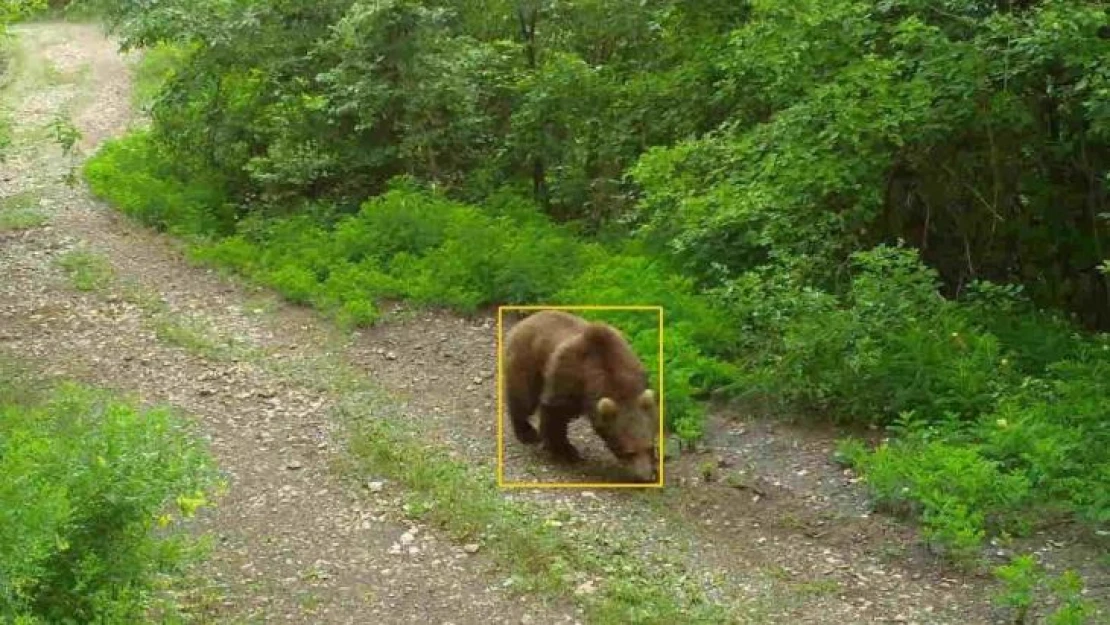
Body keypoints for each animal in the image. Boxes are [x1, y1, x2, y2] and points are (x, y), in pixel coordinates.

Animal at [503, 310, 657, 481]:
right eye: (629, 452)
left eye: (650, 447)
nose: (645, 476)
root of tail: (527, 319)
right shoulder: (567, 379)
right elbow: (554, 415)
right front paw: (564, 450)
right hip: (527, 361)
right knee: (523, 399)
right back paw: (526, 433)